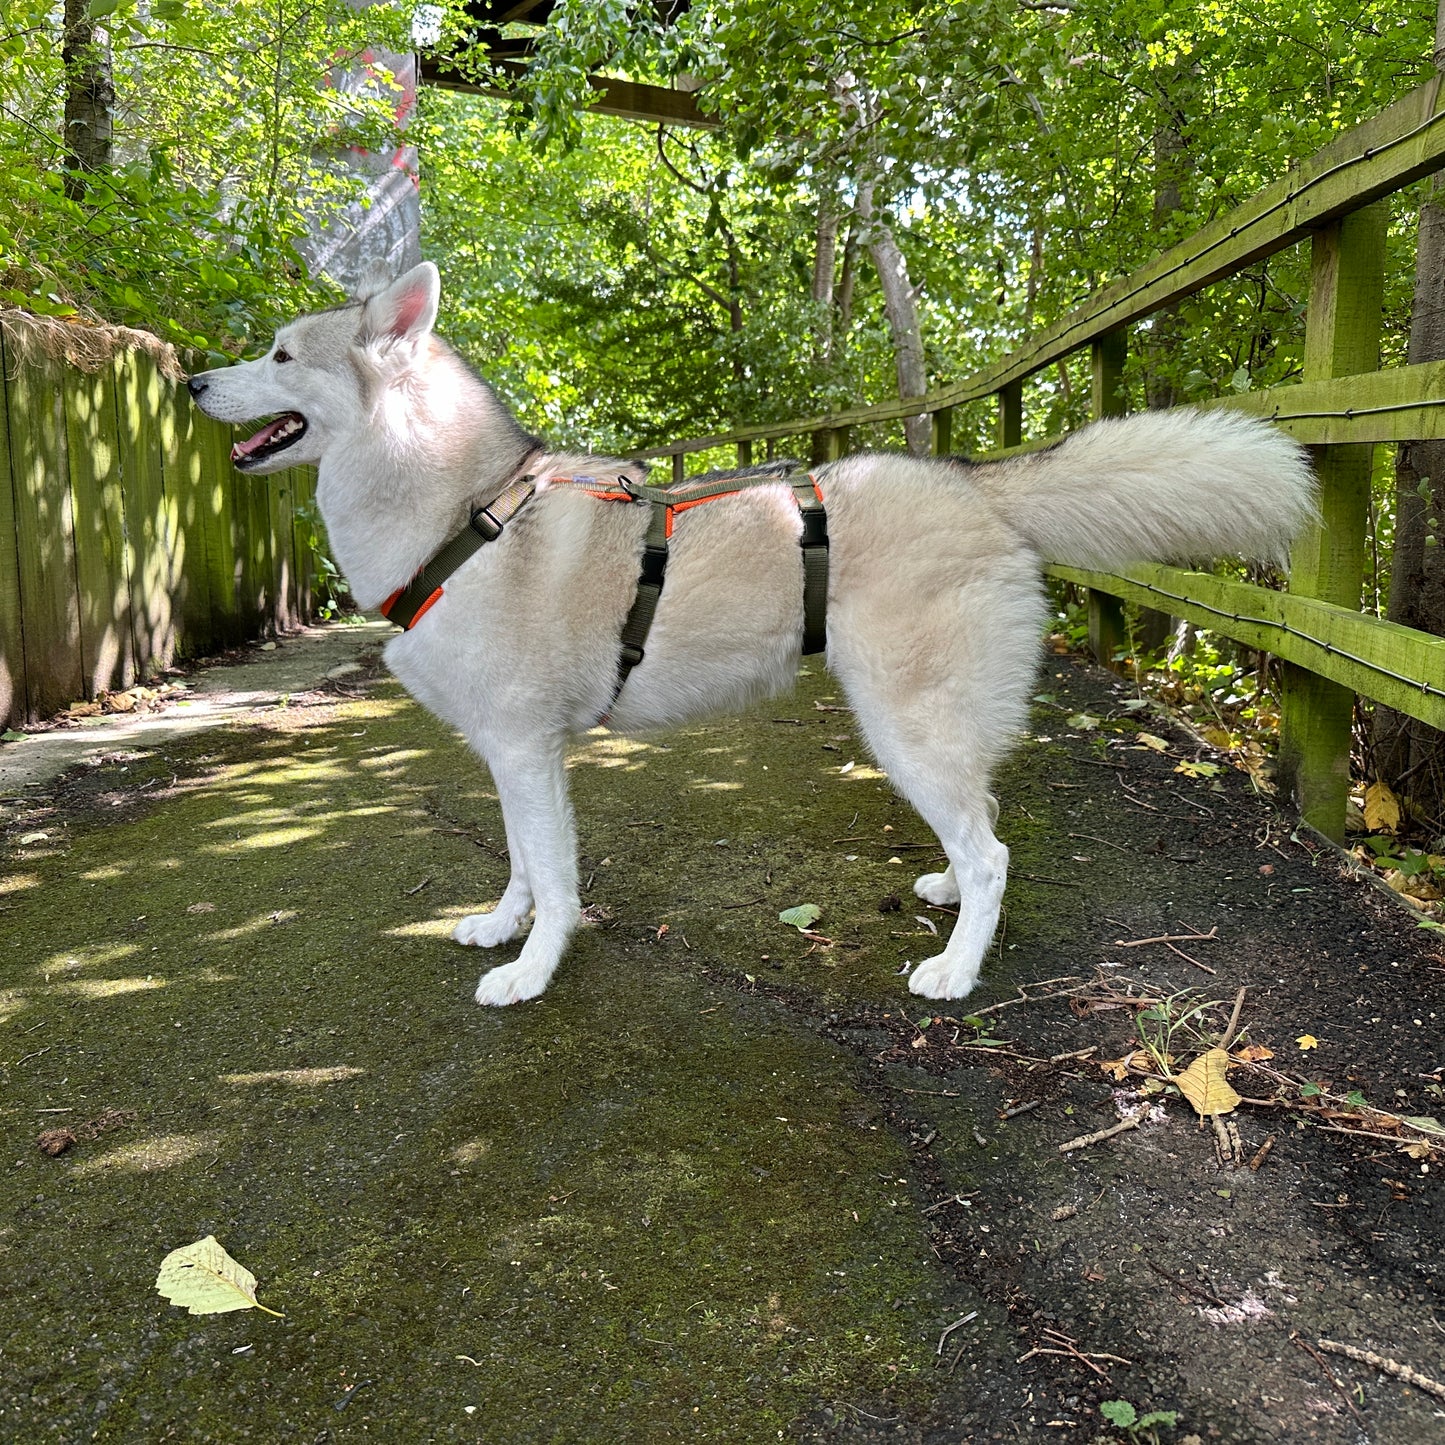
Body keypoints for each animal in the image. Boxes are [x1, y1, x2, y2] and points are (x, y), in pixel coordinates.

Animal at [186, 262, 1317, 1005]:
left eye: (280, 353)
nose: (192, 380)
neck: (462, 511)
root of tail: (971, 481)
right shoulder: (509, 756)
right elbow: (517, 863)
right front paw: (503, 925)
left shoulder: (525, 749)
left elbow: (554, 878)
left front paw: (531, 968)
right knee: (979, 826)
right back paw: (947, 889)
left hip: (903, 721)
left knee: (994, 851)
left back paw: (956, 966)